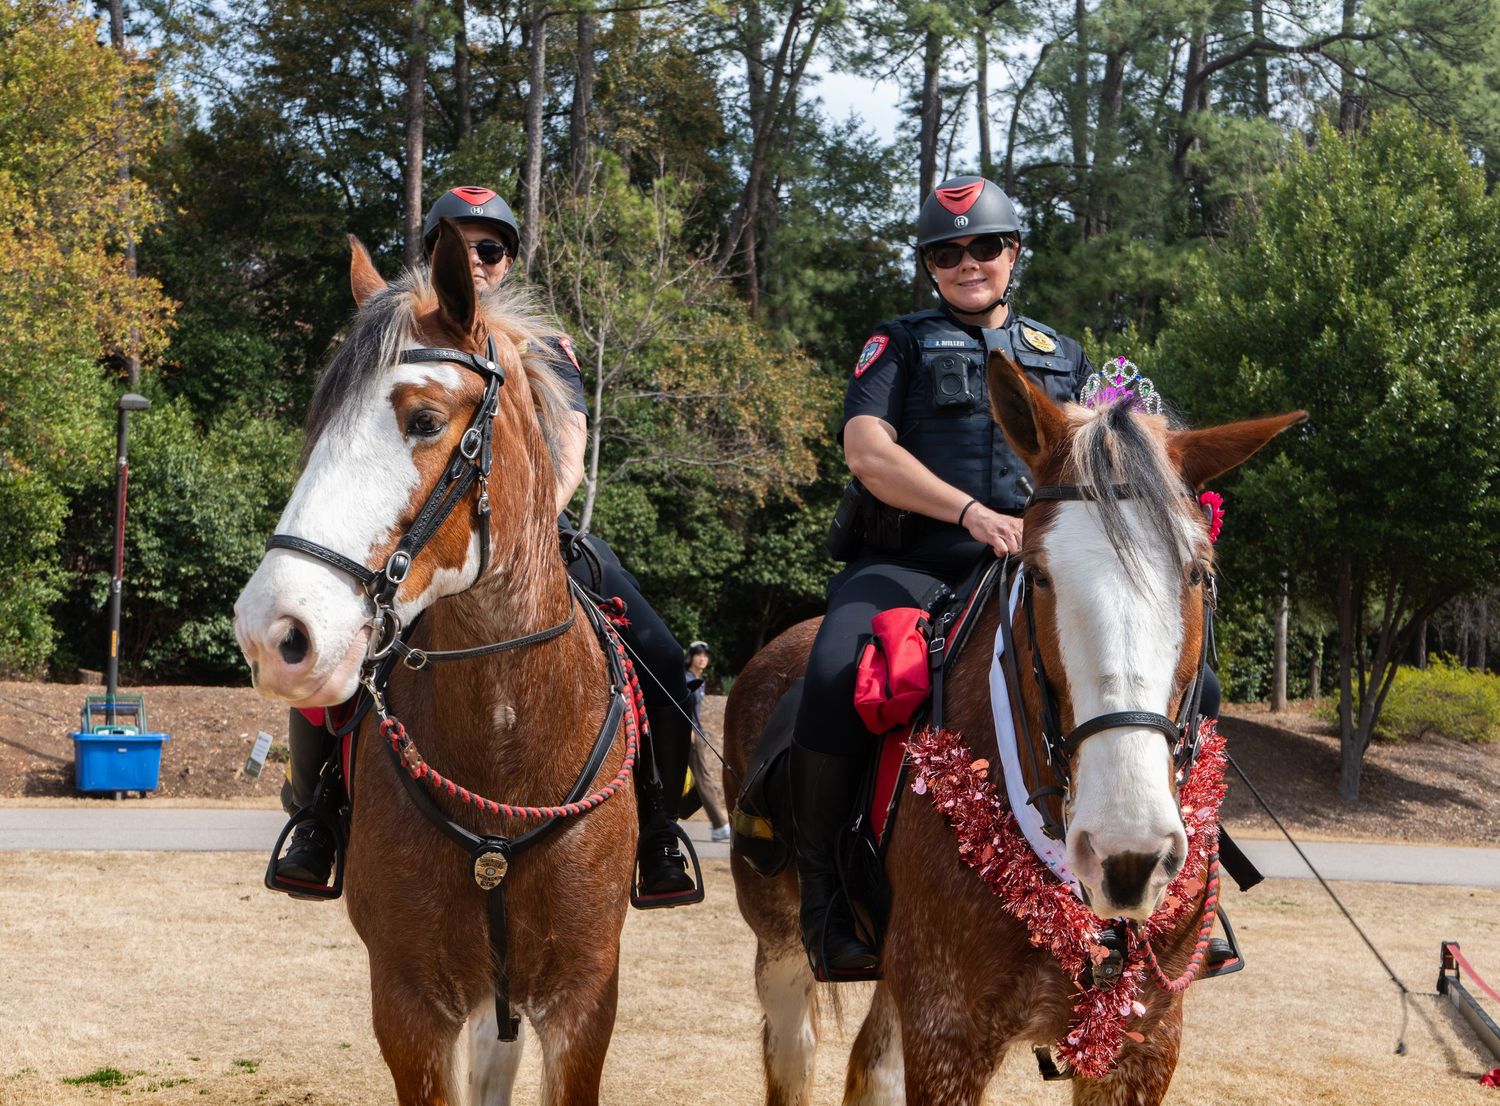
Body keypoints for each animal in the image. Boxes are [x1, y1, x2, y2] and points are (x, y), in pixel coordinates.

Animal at [233, 221, 636, 1106]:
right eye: (317, 425)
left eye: (423, 418)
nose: (272, 631)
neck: (506, 741)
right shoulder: (409, 1002)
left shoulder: (584, 999)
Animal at [726, 349, 1304, 1105]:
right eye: (1039, 574)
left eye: (1198, 574)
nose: (1126, 854)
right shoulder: (948, 1032)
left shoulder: (1144, 1045)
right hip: (782, 947)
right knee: (792, 1050)